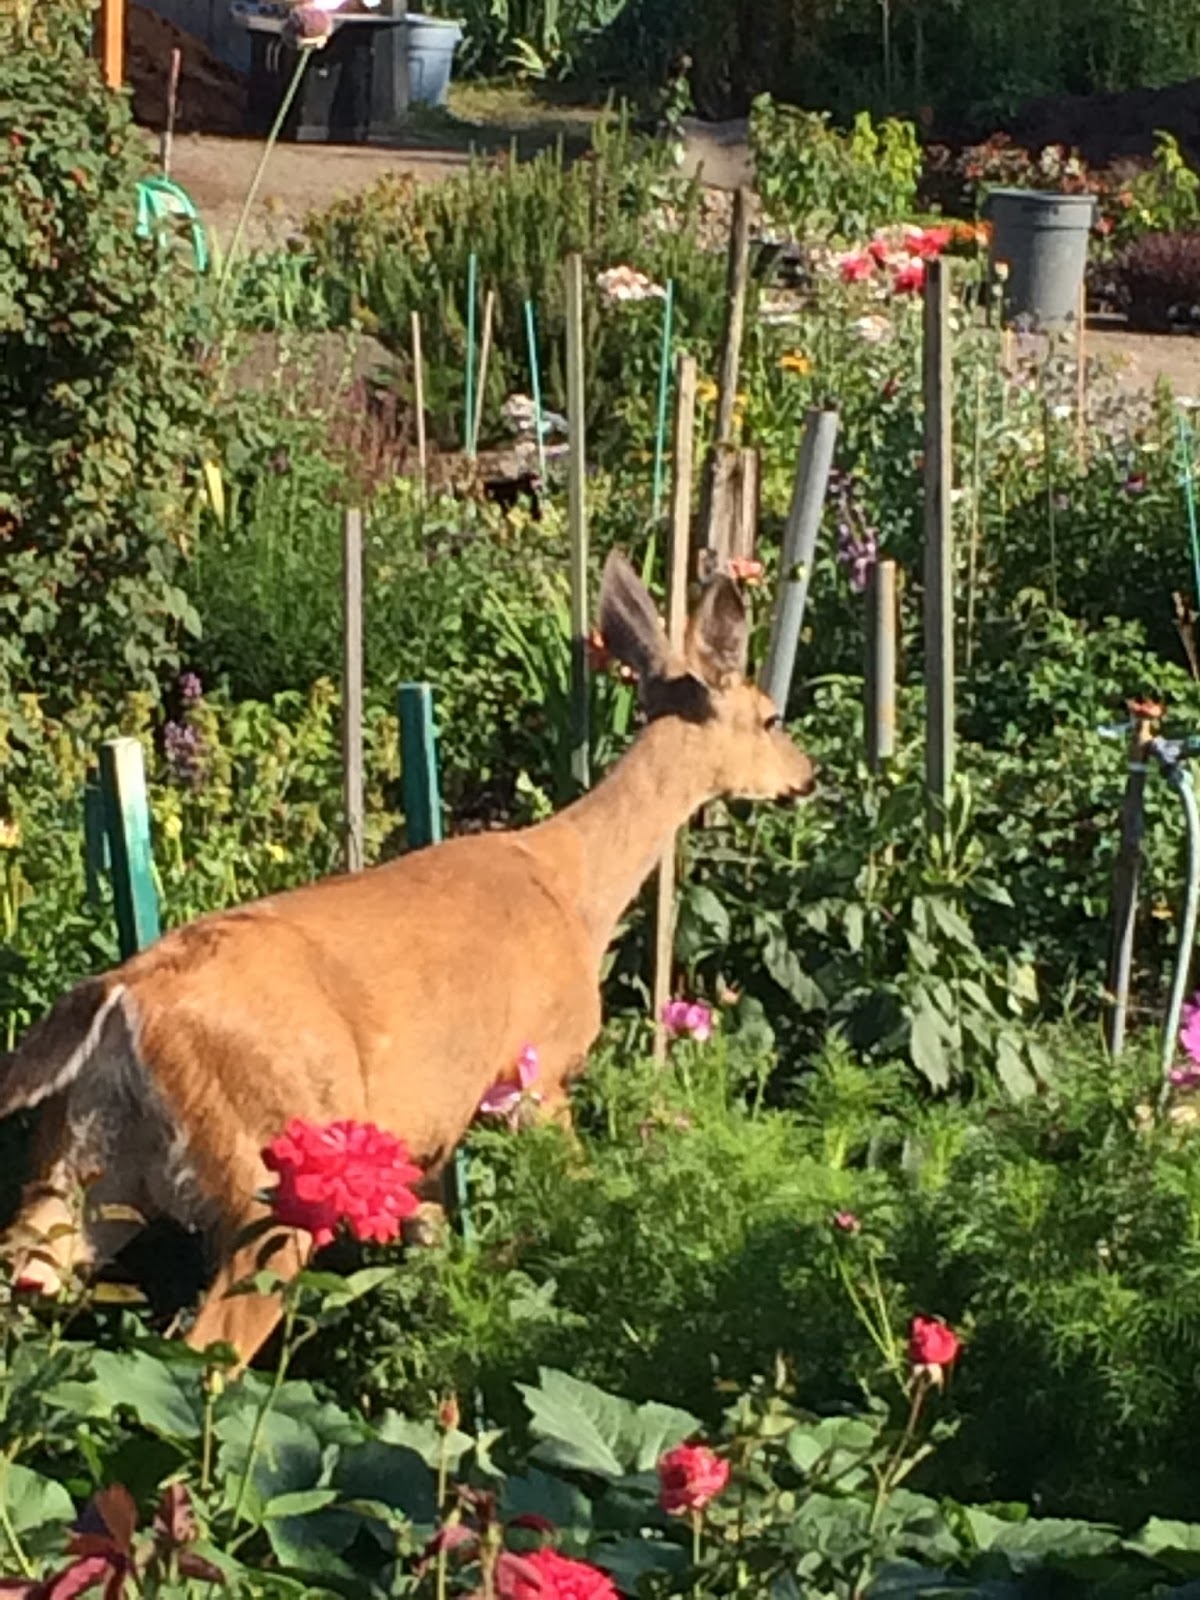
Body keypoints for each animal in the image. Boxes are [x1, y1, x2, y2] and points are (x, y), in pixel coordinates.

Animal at [0, 551, 815, 1368]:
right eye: (770, 717)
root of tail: (123, 994)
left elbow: (438, 1254)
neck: (575, 886)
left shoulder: (423, 1144)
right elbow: (573, 1189)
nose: (806, 775)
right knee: (212, 1346)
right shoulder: (535, 1071)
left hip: (83, 1165)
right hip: (271, 1169)